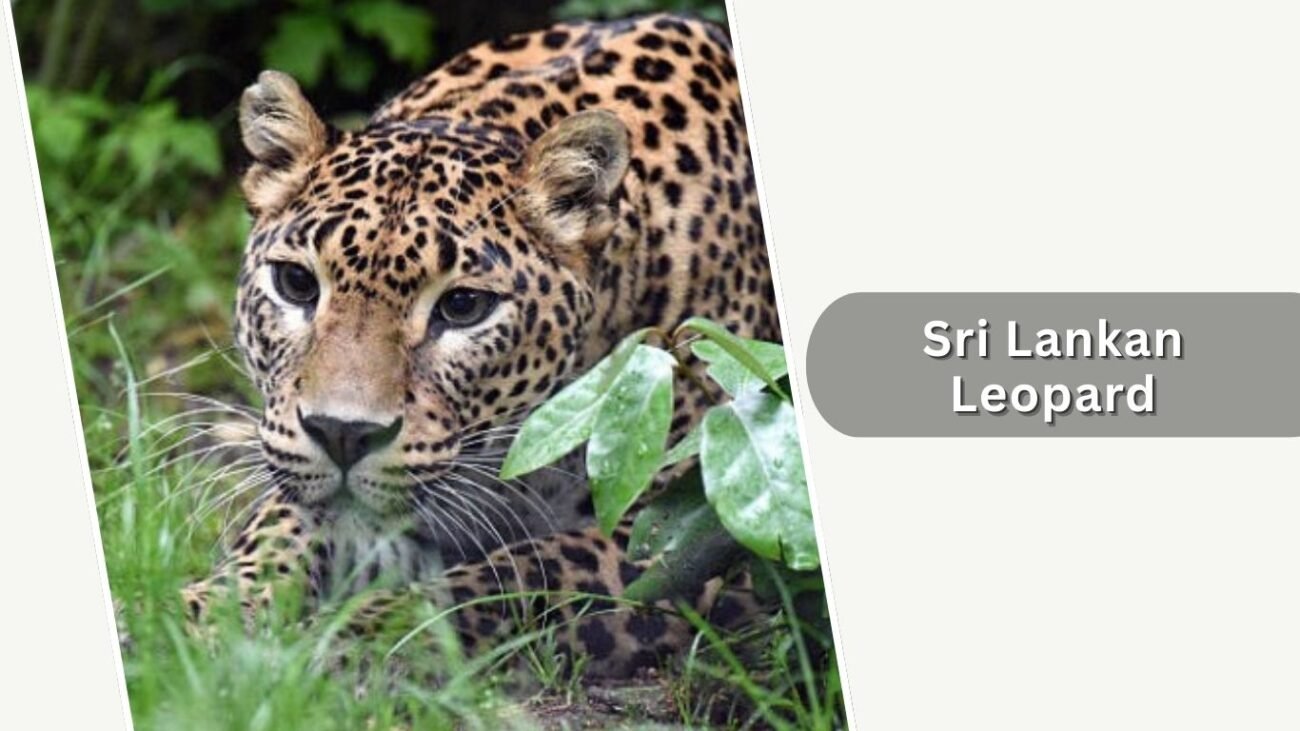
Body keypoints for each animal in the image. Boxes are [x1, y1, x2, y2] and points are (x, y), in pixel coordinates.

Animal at [182, 12, 779, 680]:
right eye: (296, 284)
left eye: (463, 306)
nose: (342, 434)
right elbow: (277, 531)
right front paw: (206, 612)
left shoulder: (671, 534)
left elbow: (509, 579)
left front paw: (355, 637)